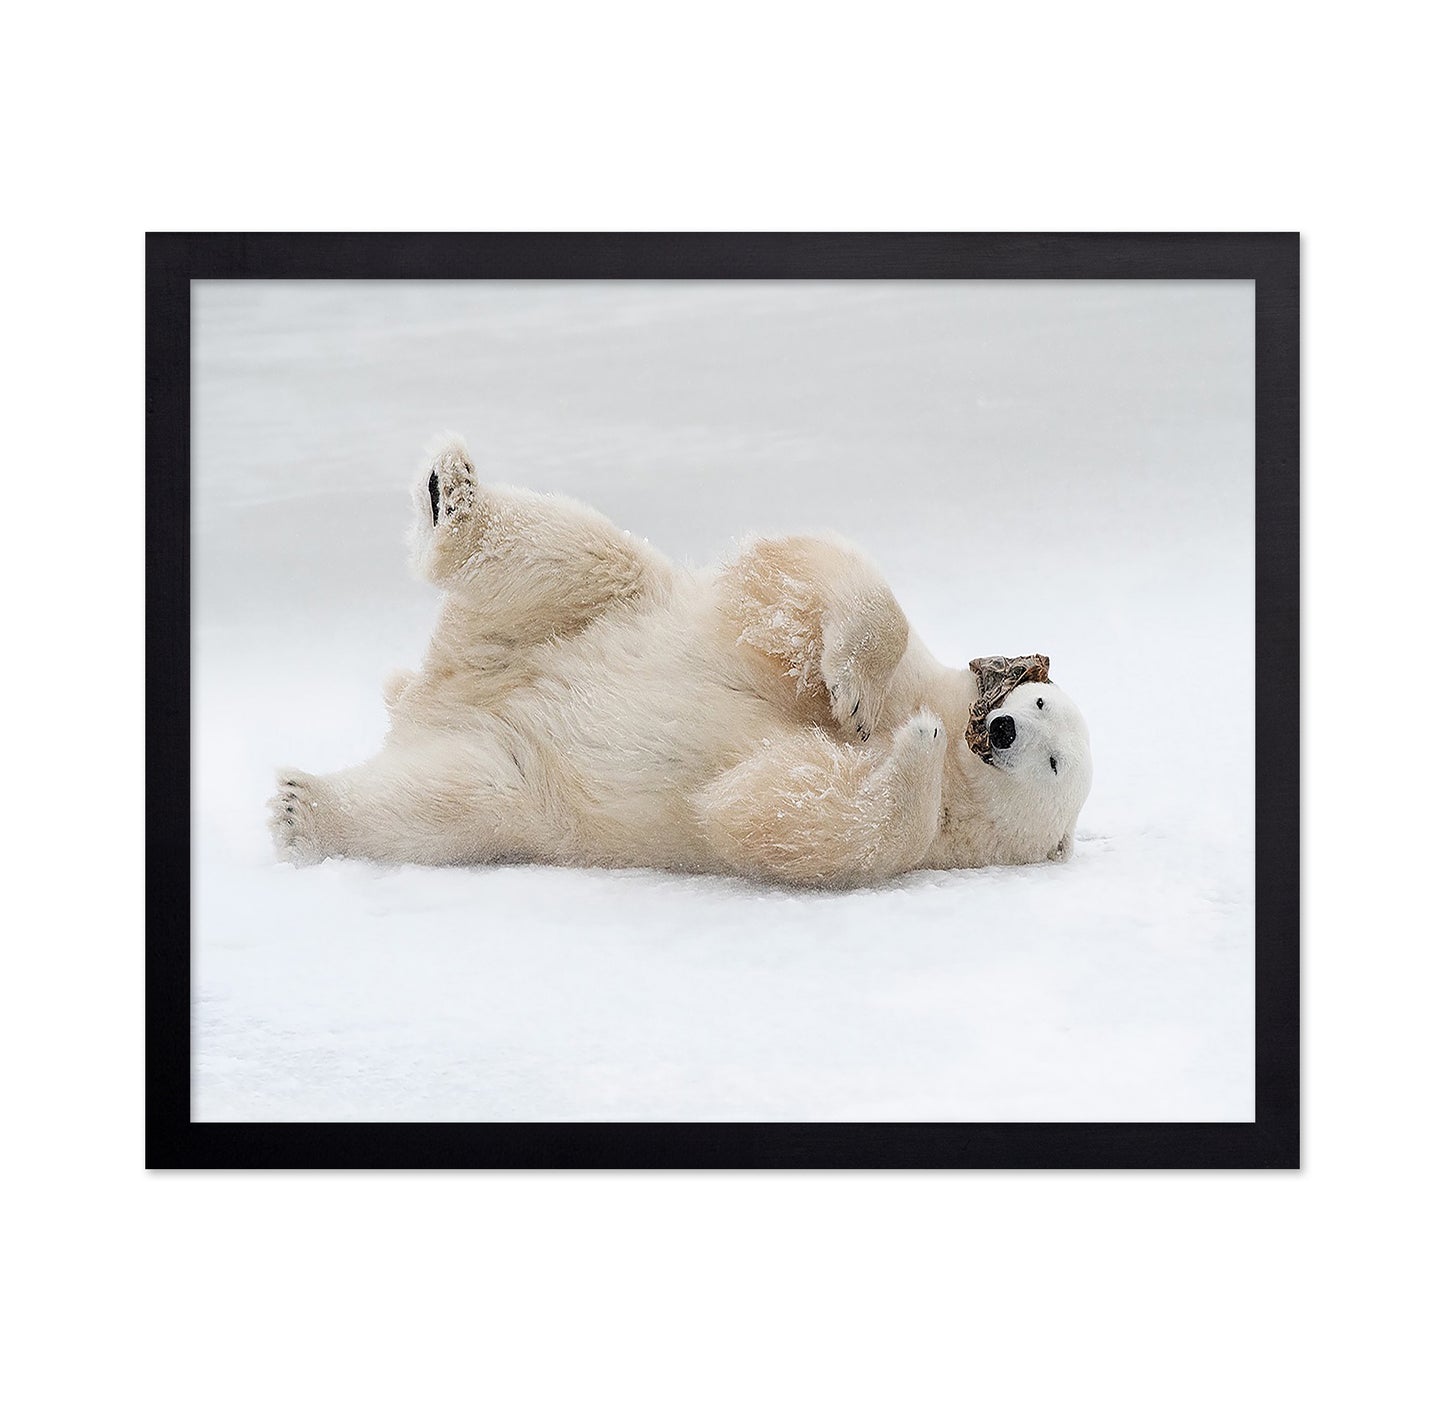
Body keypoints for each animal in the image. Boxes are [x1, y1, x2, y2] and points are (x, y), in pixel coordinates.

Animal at [268, 436, 1093, 887]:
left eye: (1054, 763)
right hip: (587, 611)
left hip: (521, 779)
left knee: (440, 803)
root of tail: (438, 691)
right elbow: (809, 583)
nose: (1004, 731)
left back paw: (304, 808)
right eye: (1039, 704)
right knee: (571, 548)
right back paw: (452, 492)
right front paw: (856, 697)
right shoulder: (903, 662)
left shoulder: (930, 846)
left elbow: (799, 817)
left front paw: (910, 744)